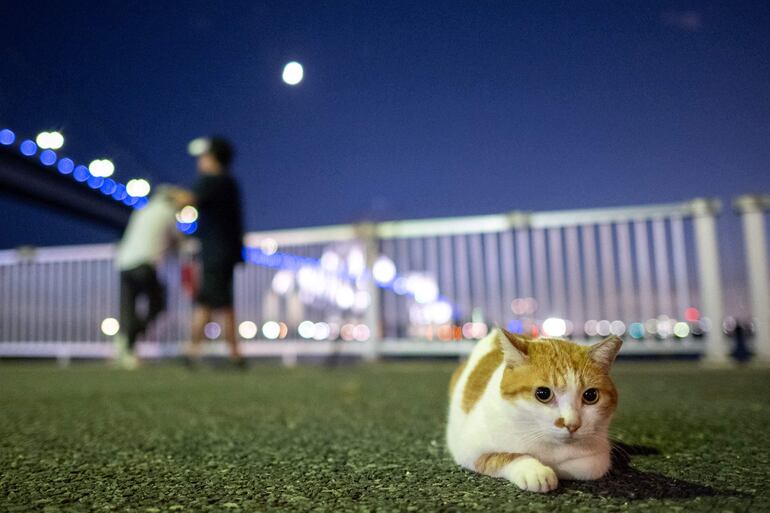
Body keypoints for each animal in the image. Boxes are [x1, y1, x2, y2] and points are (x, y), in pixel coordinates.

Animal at [448, 328, 620, 492]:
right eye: (543, 393)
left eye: (591, 395)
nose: (572, 425)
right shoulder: (469, 448)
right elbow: (505, 456)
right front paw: (534, 470)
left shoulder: (600, 455)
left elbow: (586, 467)